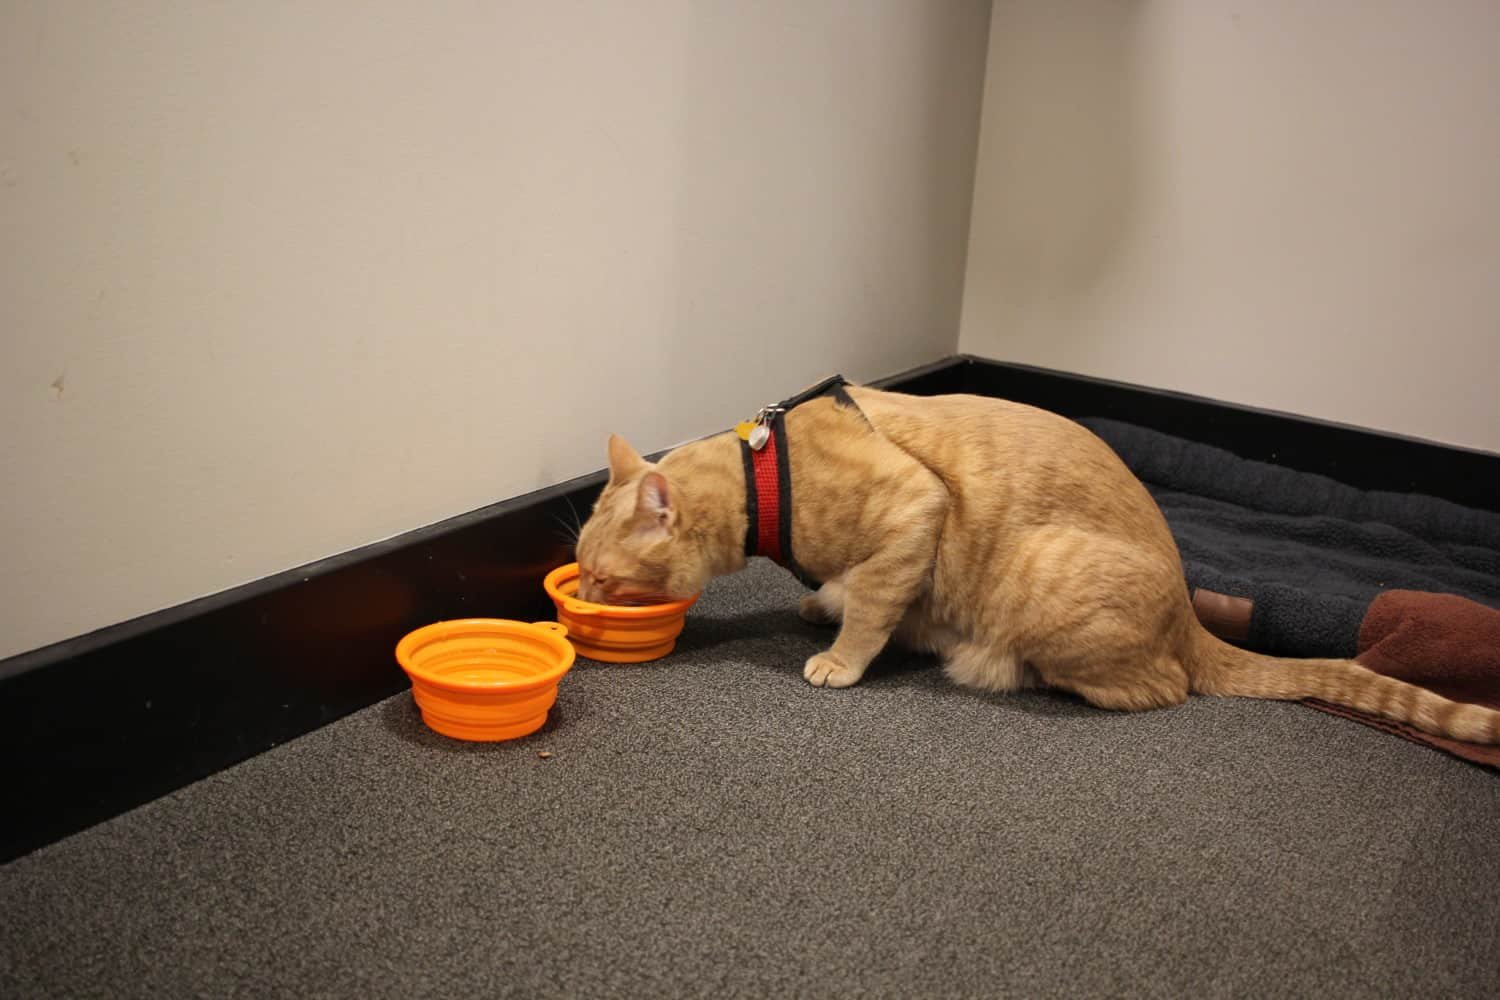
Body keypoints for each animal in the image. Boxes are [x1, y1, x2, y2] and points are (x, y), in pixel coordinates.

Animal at [573, 383, 1500, 743]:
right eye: (578, 569)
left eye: (602, 579)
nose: (577, 596)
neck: (770, 474)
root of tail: (1189, 613)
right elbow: (857, 594)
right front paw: (820, 604)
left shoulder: (915, 509)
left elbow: (872, 608)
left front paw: (840, 654)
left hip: (1046, 580)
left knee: (1161, 686)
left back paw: (997, 666)